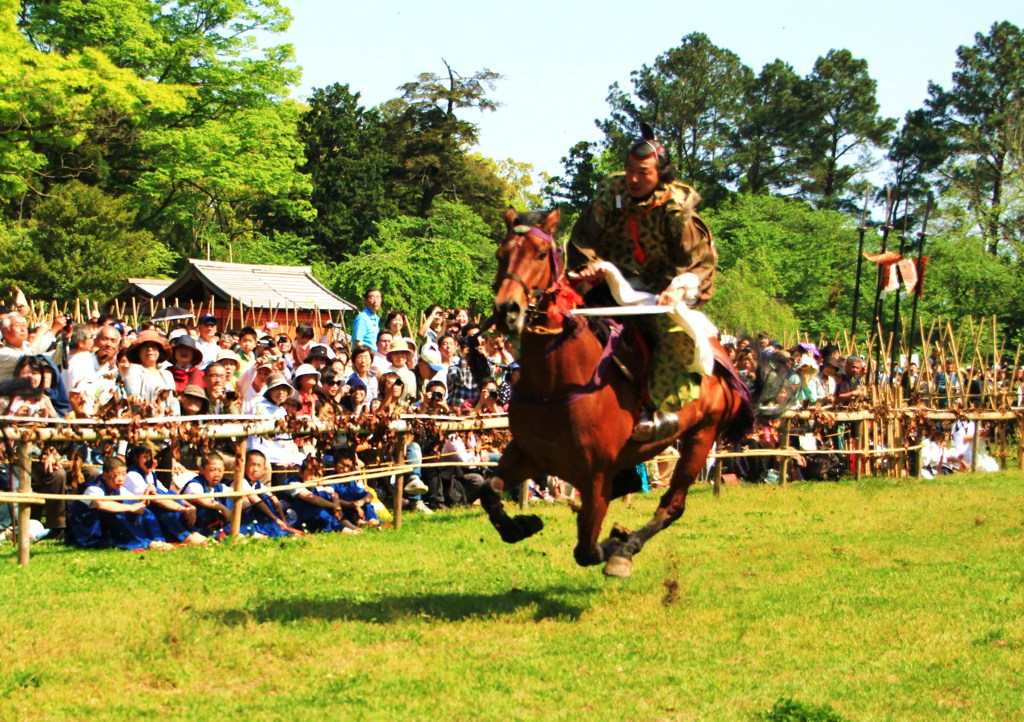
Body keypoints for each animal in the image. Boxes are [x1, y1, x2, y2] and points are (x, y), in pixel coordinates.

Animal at [479, 206, 753, 573]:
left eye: (539, 254)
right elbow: (489, 491)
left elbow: (586, 549)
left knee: (672, 505)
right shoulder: (530, 455)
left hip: (702, 435)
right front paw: (520, 525)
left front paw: (615, 544)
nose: (507, 310)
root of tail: (723, 361)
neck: (556, 382)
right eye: (501, 254)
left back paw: (626, 548)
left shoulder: (595, 478)